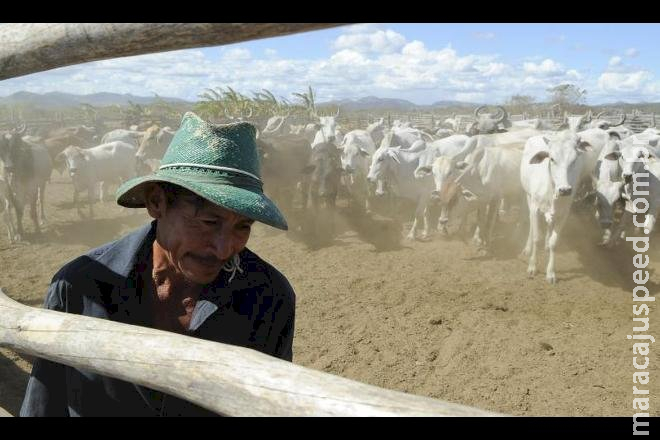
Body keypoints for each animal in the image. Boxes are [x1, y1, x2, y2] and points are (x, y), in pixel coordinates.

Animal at [520, 131, 592, 284]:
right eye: (552, 159)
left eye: (574, 160)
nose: (565, 190)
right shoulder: (535, 208)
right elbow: (536, 237)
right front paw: (532, 266)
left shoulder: (563, 214)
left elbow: (554, 242)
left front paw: (551, 273)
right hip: (528, 196)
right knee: (531, 224)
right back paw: (527, 248)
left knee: (549, 226)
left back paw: (546, 245)